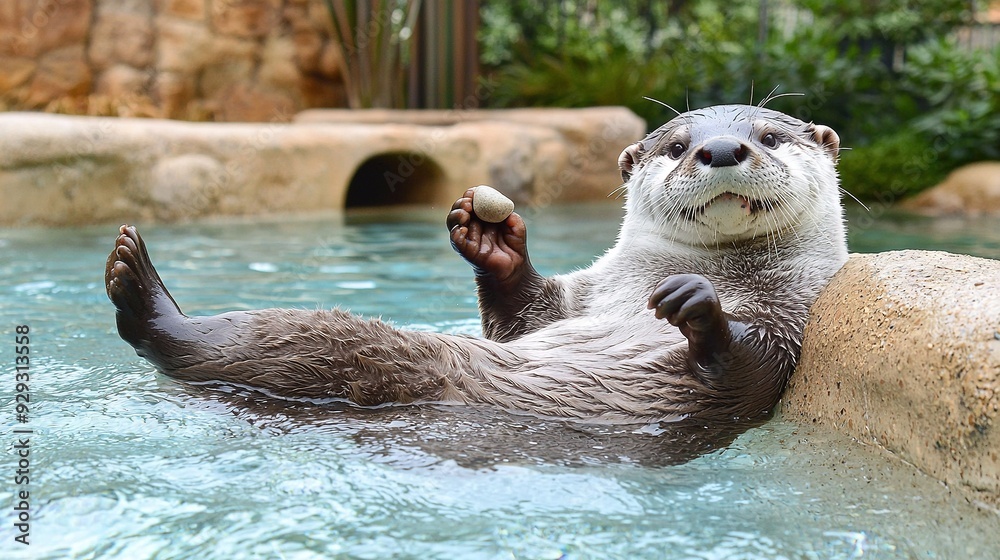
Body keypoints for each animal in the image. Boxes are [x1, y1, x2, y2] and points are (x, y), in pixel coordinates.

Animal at [106, 104, 847, 423]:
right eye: (675, 145)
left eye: (770, 135)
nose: (719, 149)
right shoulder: (579, 296)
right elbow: (523, 317)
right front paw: (493, 240)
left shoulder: (790, 323)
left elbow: (741, 372)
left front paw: (697, 305)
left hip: (362, 356)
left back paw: (146, 299)